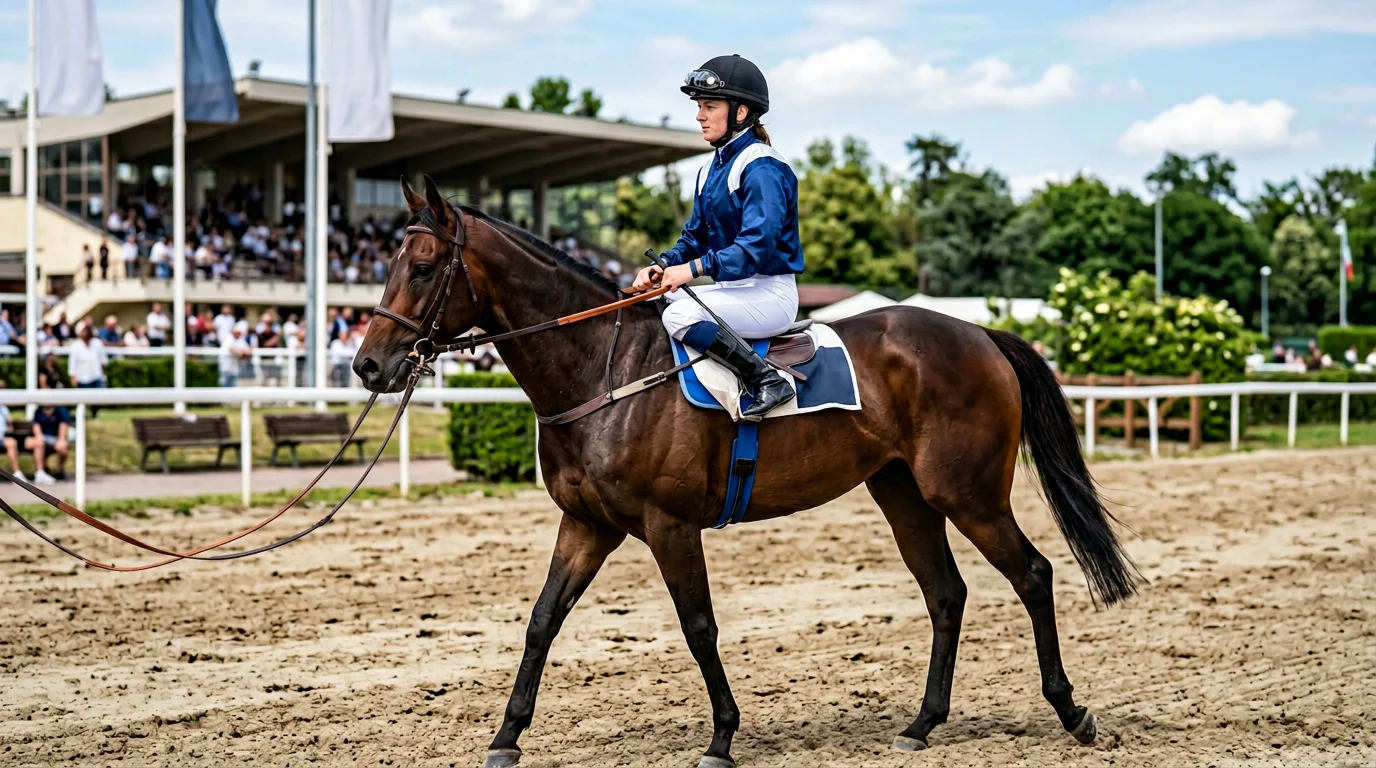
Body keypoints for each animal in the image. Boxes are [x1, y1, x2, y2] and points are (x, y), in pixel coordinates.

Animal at [355, 176, 1139, 768]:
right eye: (385, 264)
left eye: (422, 267)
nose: (368, 365)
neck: (606, 368)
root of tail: (979, 333)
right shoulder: (586, 524)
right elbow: (542, 621)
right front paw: (506, 736)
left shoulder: (669, 526)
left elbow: (698, 625)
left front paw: (722, 738)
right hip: (904, 494)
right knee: (946, 594)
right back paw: (922, 724)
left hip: (968, 493)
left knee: (1033, 574)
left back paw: (1072, 711)